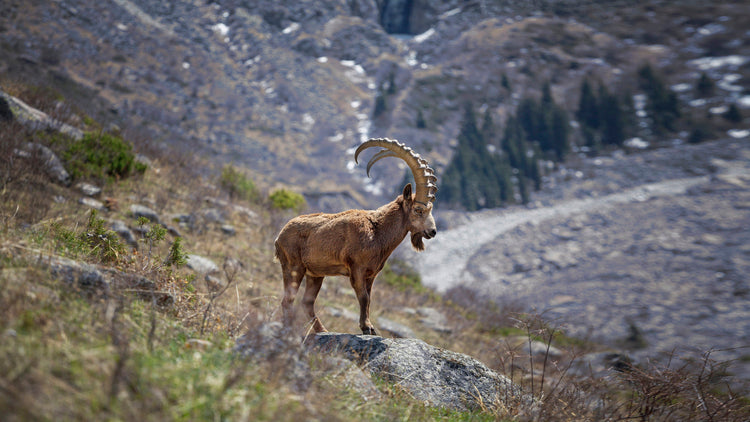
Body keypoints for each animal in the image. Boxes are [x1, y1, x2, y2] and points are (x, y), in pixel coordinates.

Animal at [276, 139, 440, 336]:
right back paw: (288, 329)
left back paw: (323, 330)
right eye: (418, 210)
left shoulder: (371, 274)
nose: (432, 231)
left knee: (306, 302)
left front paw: (368, 327)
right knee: (288, 300)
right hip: (293, 267)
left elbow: (368, 299)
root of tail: (280, 236)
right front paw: (367, 328)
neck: (377, 230)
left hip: (315, 274)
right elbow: (363, 298)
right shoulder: (357, 269)